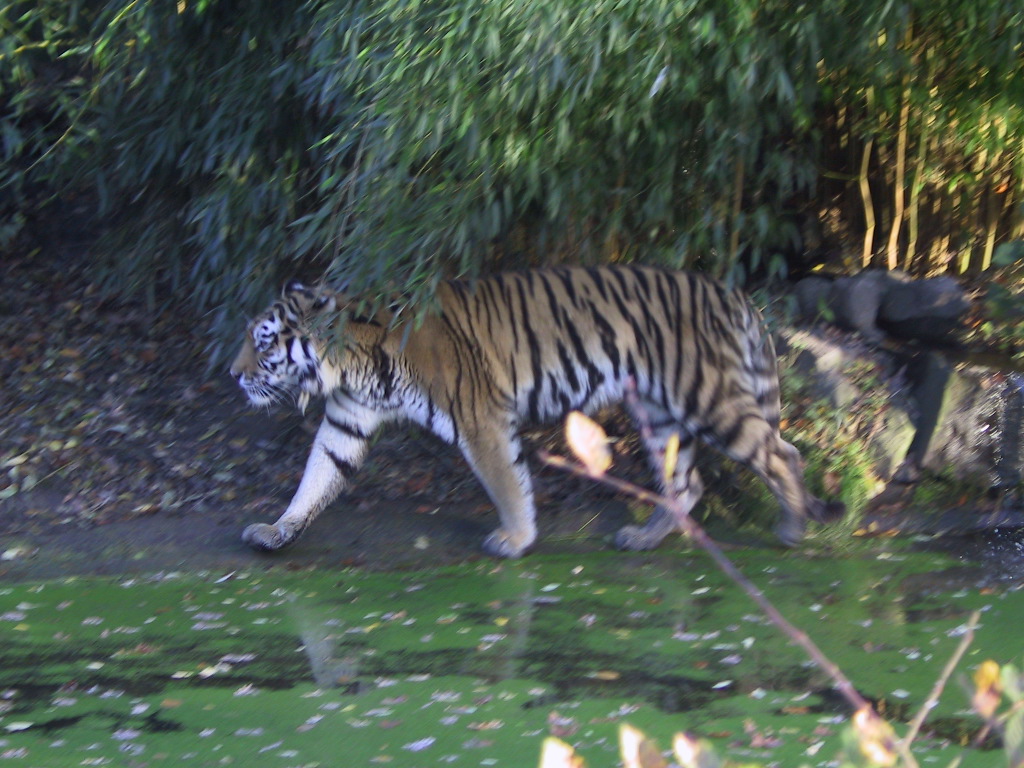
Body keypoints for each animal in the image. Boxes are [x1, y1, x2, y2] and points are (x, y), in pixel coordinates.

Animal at [232, 264, 839, 561]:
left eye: (263, 342)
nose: (233, 374)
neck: (350, 364)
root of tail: (733, 294)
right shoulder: (347, 421)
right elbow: (315, 478)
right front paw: (276, 531)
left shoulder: (479, 417)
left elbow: (505, 482)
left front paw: (516, 540)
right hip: (658, 412)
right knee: (687, 483)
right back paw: (644, 539)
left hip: (708, 398)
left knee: (782, 454)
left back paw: (792, 528)